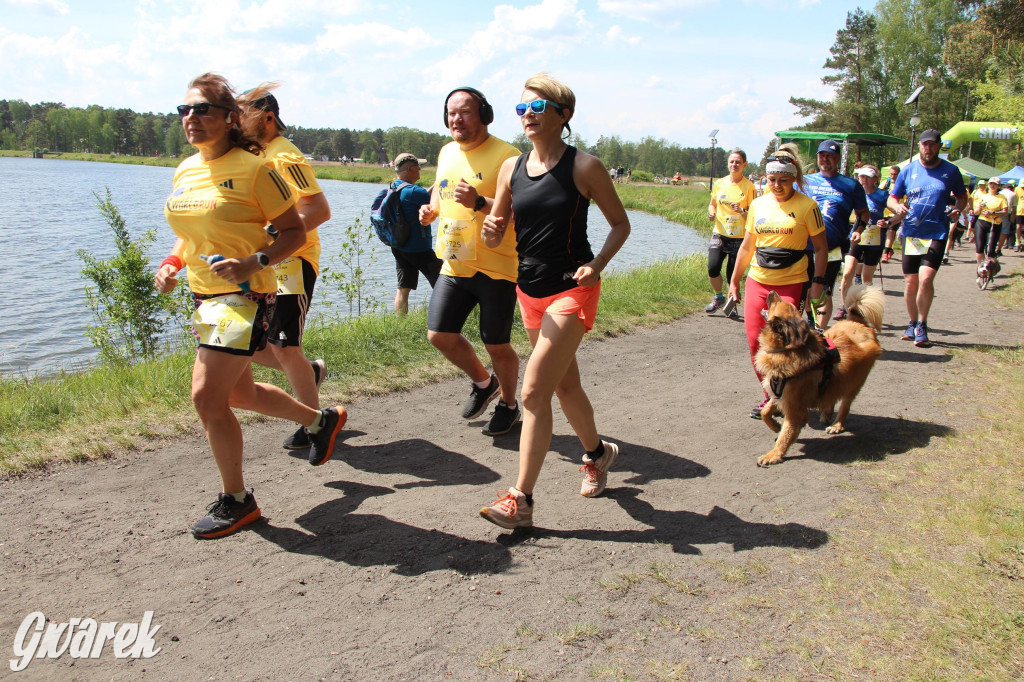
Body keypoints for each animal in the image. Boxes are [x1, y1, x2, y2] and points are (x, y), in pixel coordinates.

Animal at [749, 284, 884, 464]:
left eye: (779, 303)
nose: (771, 291)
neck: (786, 350)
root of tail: (859, 324)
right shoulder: (779, 393)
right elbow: (765, 412)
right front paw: (776, 426)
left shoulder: (794, 408)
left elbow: (786, 434)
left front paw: (774, 454)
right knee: (830, 397)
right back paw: (826, 413)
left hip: (853, 383)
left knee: (845, 406)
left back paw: (836, 425)